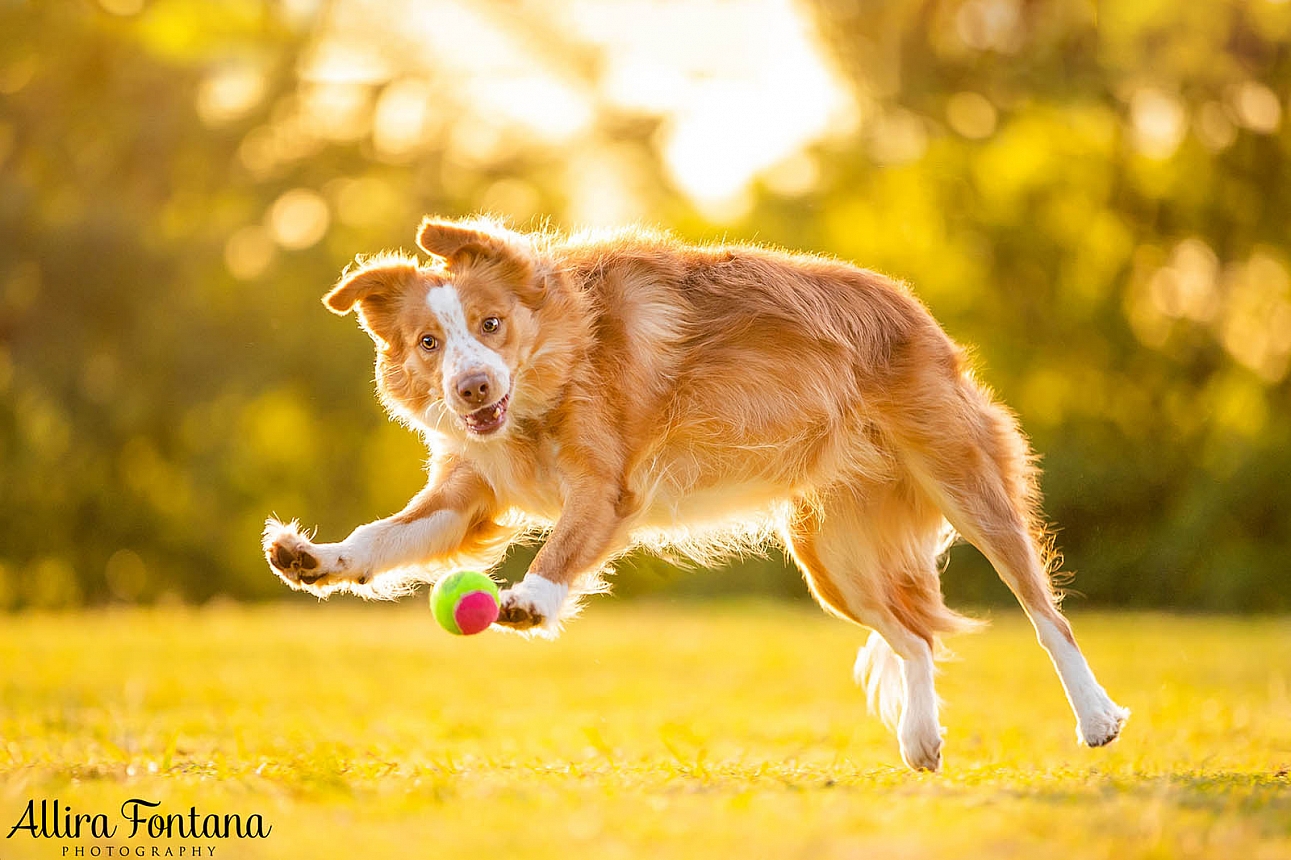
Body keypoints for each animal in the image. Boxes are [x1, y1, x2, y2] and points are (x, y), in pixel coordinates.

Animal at [264, 215, 1130, 769]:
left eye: (492, 324)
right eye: (428, 343)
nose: (472, 388)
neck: (556, 370)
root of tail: (919, 315)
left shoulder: (607, 486)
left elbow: (565, 541)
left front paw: (532, 599)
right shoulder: (469, 493)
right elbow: (383, 538)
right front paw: (316, 557)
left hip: (963, 482)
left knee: (1045, 614)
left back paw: (1095, 716)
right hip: (831, 556)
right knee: (912, 636)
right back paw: (920, 739)